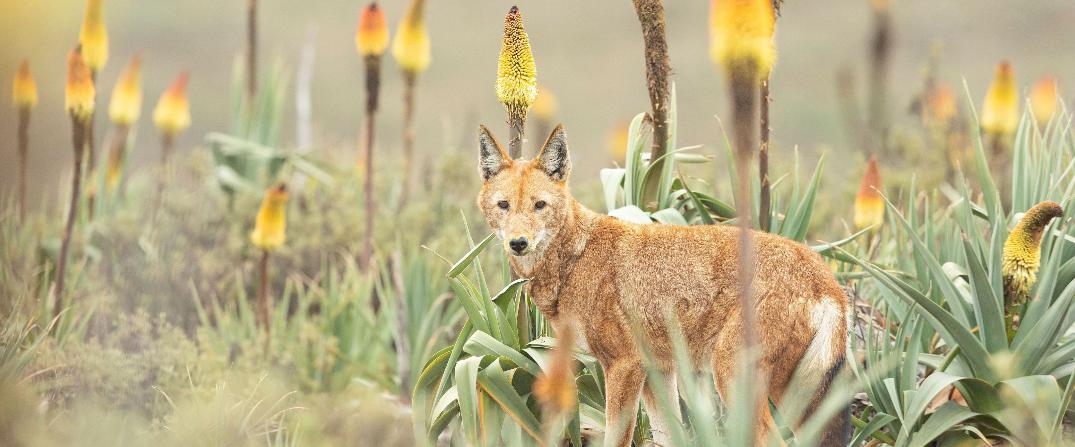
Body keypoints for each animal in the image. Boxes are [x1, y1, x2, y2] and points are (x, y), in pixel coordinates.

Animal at [476, 124, 851, 447]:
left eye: (539, 205)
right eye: (504, 206)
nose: (518, 243)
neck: (576, 258)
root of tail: (826, 278)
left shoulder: (624, 366)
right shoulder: (658, 372)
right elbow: (670, 437)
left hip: (733, 378)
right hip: (792, 395)